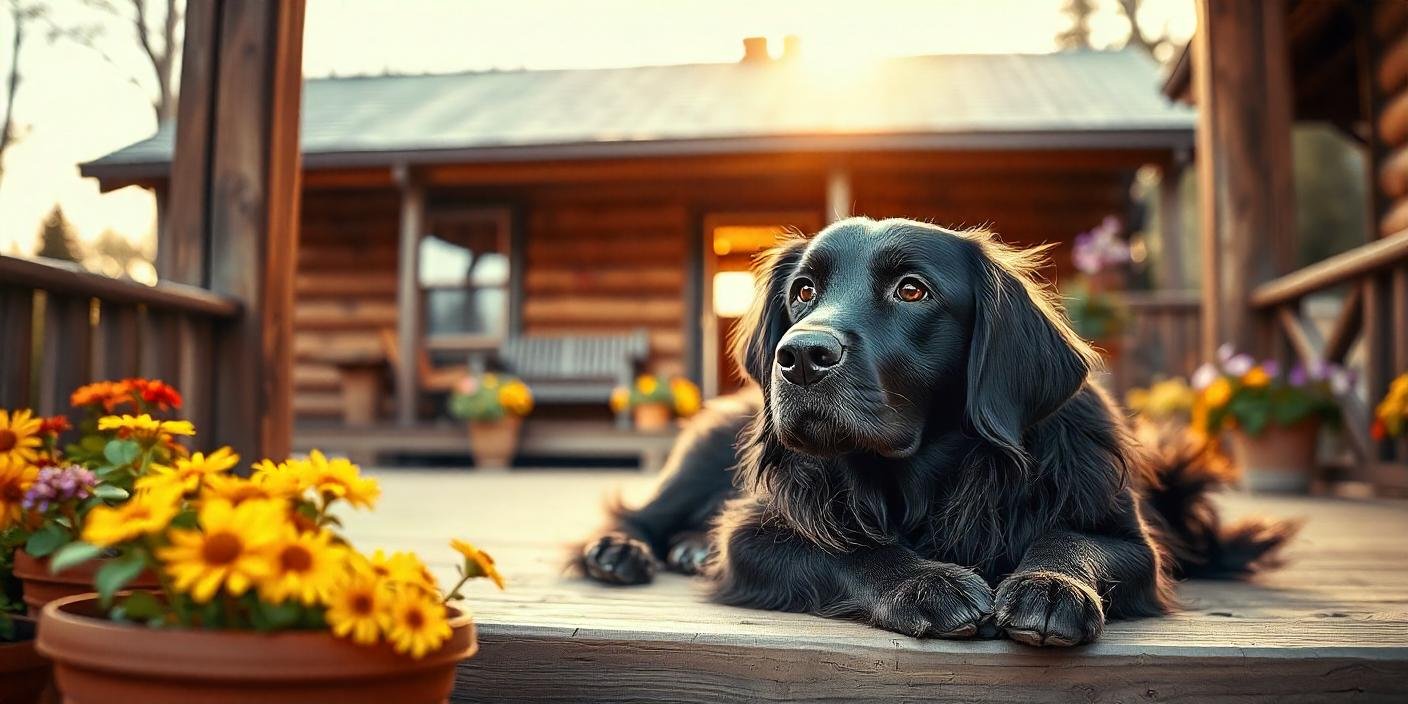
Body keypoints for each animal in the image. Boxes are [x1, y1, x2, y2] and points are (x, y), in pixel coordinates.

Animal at [577, 216, 1289, 644]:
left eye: (912, 290)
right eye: (803, 291)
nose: (800, 355)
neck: (928, 476)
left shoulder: (1131, 542)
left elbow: (1070, 541)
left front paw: (1050, 584)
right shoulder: (754, 534)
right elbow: (851, 550)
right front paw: (929, 582)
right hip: (698, 460)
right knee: (641, 514)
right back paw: (621, 551)